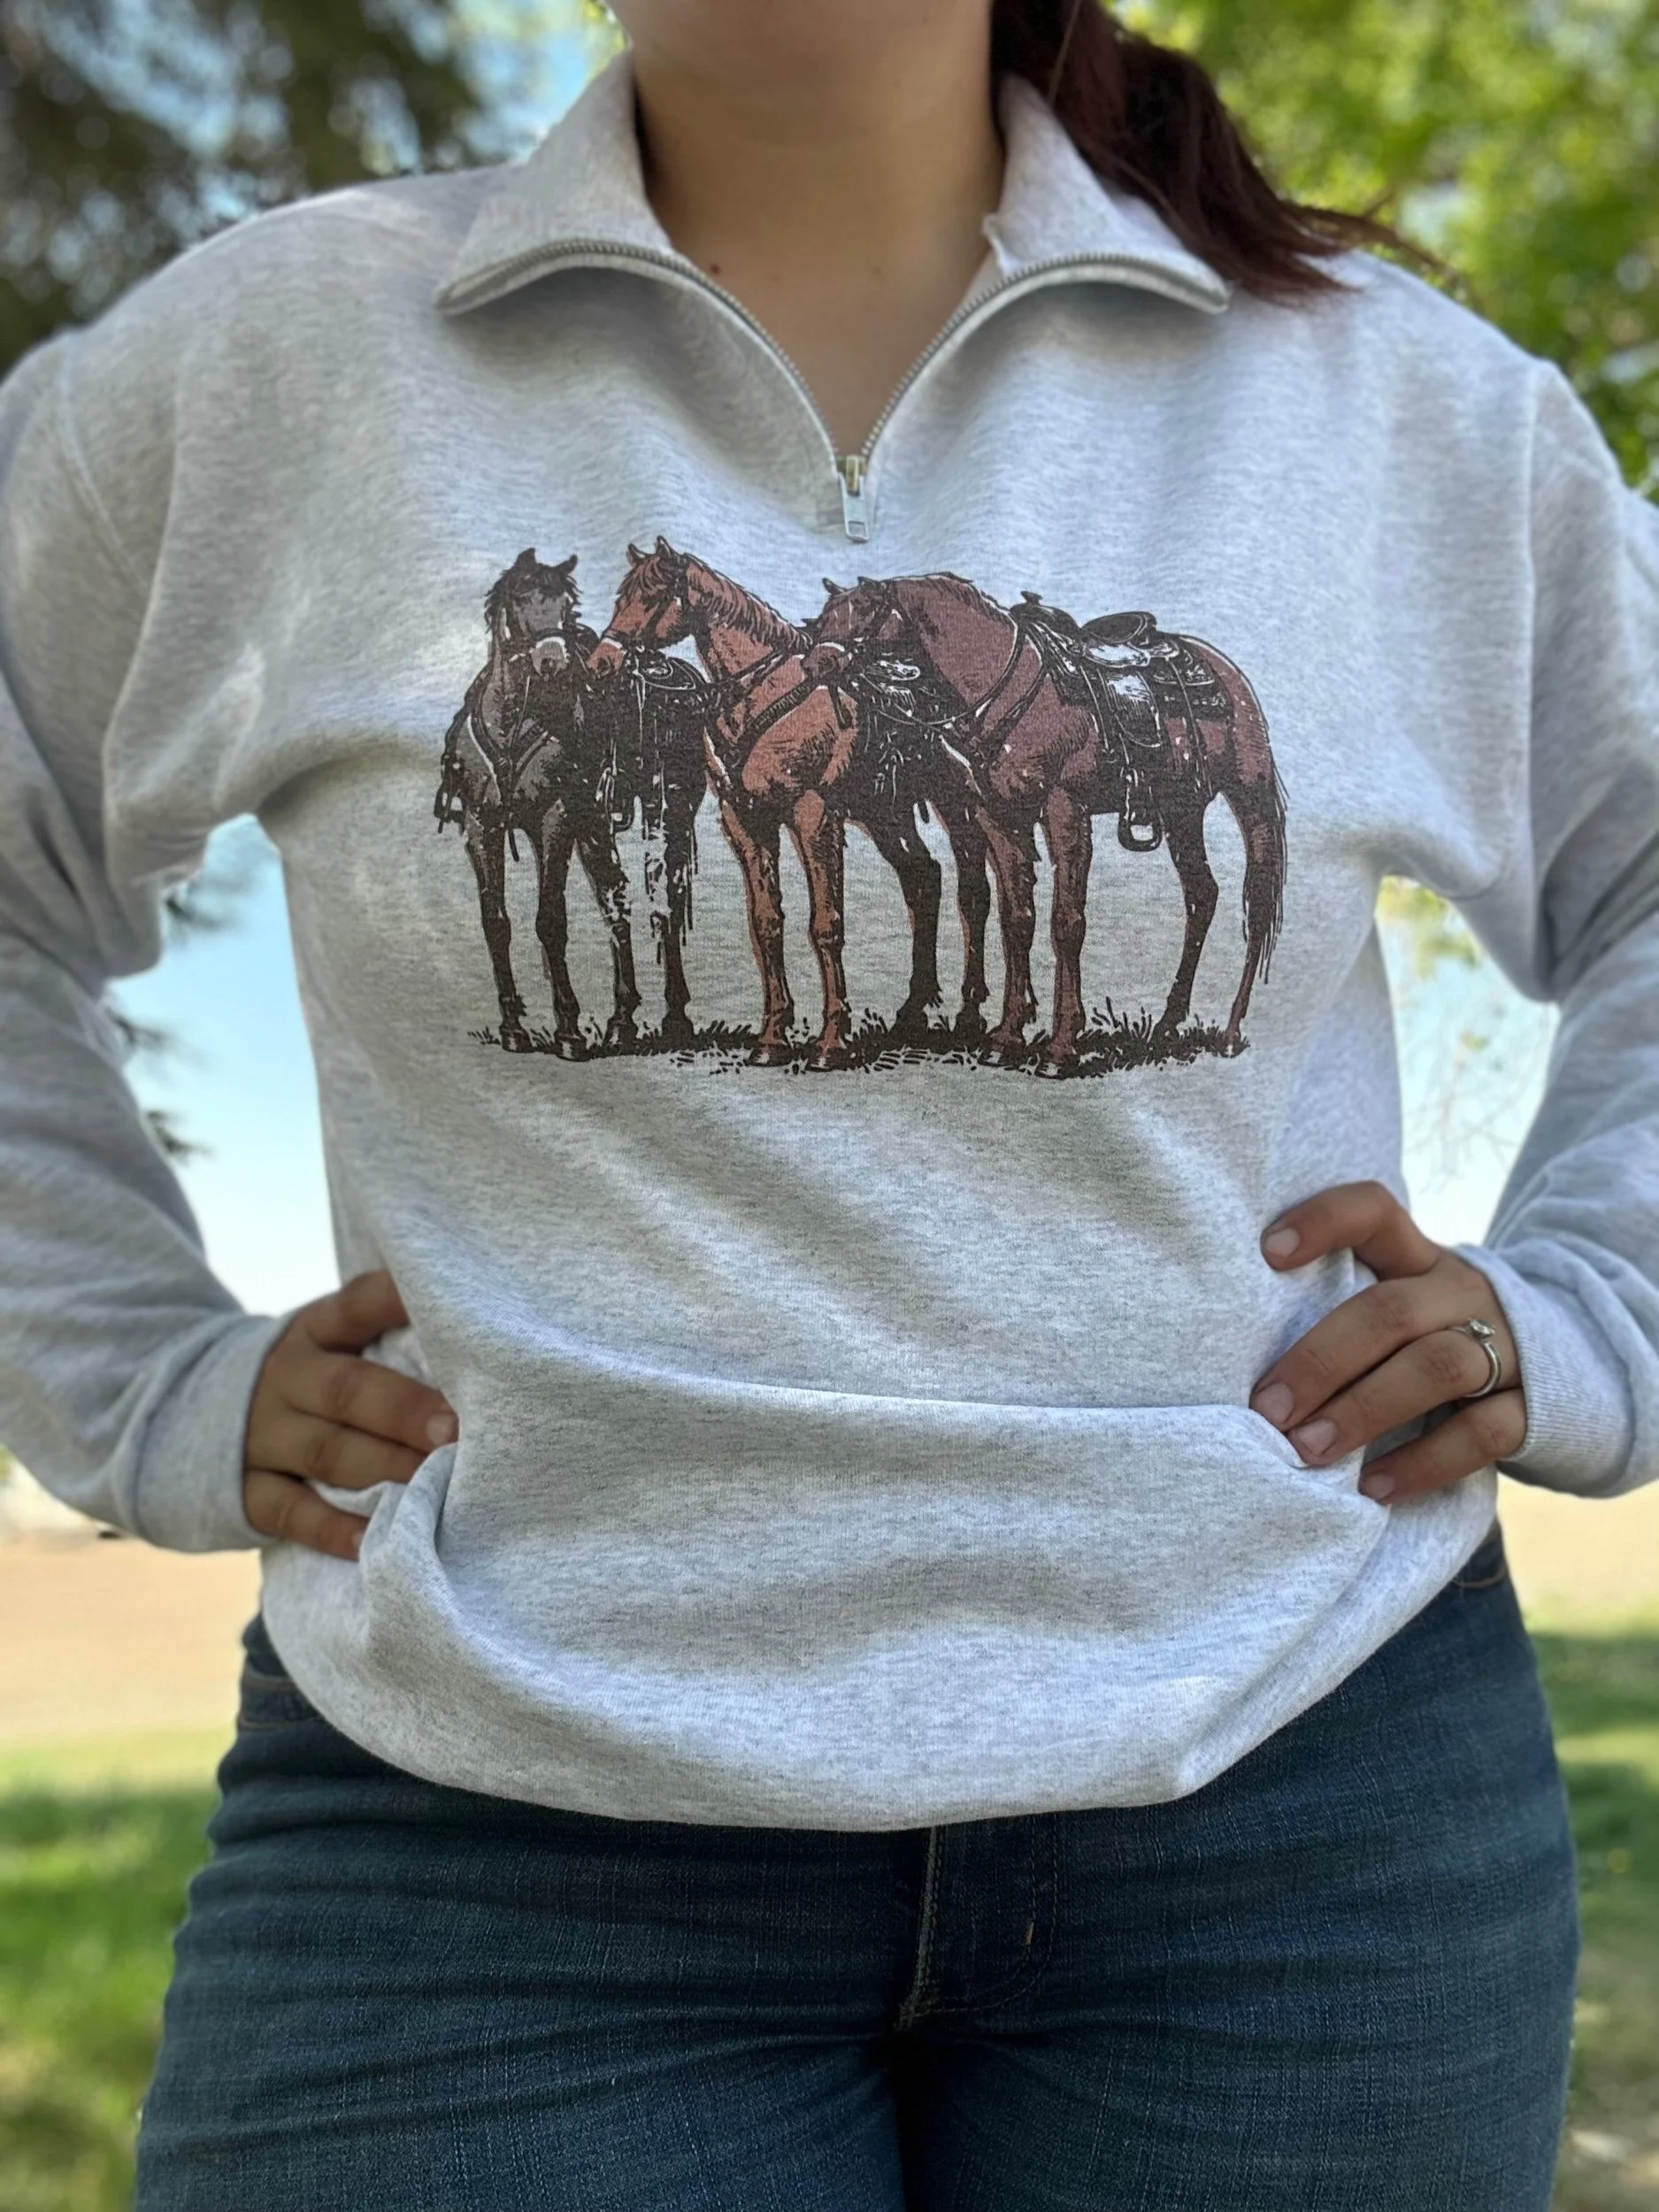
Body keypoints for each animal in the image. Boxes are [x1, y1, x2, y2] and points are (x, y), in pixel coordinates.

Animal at [434, 548, 707, 1056]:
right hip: (596, 828)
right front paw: (513, 1027)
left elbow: (550, 921)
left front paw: (568, 1029)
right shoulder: (482, 825)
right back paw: (622, 1020)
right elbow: (495, 922)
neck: (513, 719)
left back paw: (676, 1017)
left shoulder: (554, 820)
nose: (553, 663)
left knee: (668, 899)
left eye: (566, 604)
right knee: (615, 900)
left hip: (670, 810)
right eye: (522, 597)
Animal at [589, 537, 992, 1067]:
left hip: (958, 806)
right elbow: (766, 923)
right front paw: (772, 1035)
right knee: (923, 879)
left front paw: (832, 1038)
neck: (763, 696)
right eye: (622, 595)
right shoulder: (745, 819)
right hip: (886, 813)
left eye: (653, 595)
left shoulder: (813, 813)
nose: (600, 663)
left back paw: (970, 1014)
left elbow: (826, 923)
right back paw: (913, 1010)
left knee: (974, 894)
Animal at [813, 572, 1288, 1072]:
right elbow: (1017, 919)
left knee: (1257, 903)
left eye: (865, 614)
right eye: (823, 618)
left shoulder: (1065, 810)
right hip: (1183, 811)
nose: (812, 663)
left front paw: (1061, 1046)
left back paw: (1231, 1031)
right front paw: (1006, 1036)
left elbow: (1067, 923)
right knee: (1202, 896)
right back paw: (1168, 1023)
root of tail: (1226, 674)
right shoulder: (1000, 818)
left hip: (1250, 798)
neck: (1010, 688)